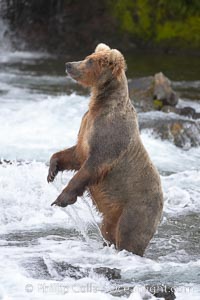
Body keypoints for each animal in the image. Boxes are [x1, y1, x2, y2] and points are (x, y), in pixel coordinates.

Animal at [47, 43, 163, 256]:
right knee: (107, 229)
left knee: (129, 234)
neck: (100, 104)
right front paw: (52, 170)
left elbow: (92, 164)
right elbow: (76, 154)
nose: (69, 64)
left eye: (90, 61)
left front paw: (61, 198)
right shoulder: (86, 128)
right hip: (112, 214)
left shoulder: (110, 134)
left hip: (137, 208)